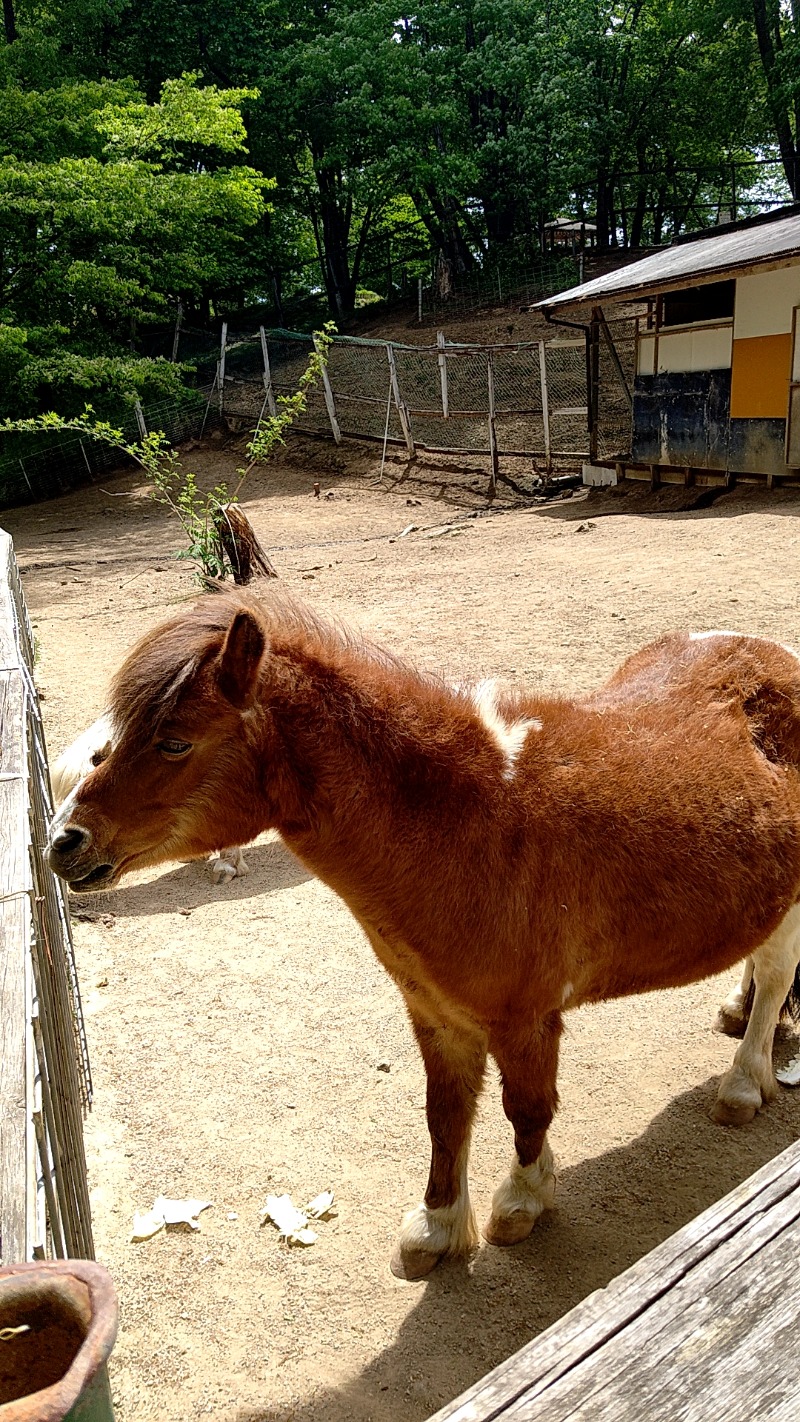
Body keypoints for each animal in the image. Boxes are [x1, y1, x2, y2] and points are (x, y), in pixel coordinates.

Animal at [45, 594, 800, 1285]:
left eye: (175, 740)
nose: (62, 842)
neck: (473, 824)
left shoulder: (527, 1021)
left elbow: (526, 1111)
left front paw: (522, 1202)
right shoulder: (436, 1014)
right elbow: (445, 1116)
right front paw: (437, 1229)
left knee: (777, 971)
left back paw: (743, 1082)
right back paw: (739, 1014)